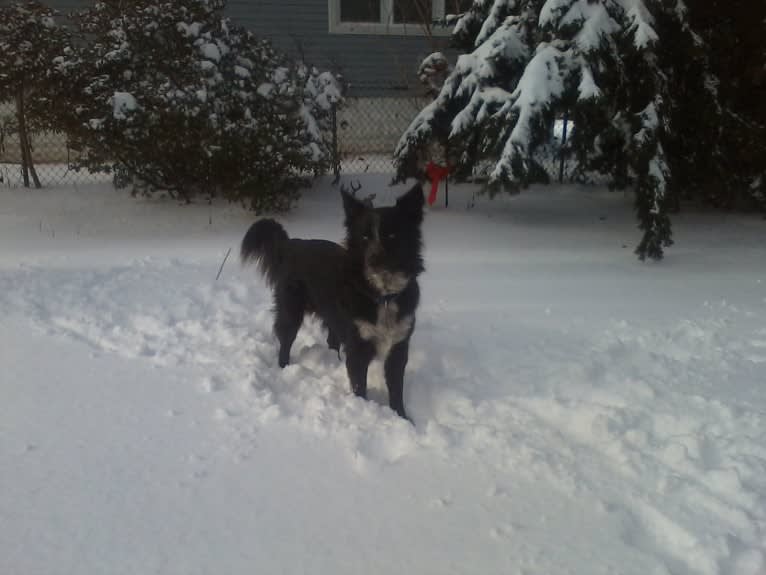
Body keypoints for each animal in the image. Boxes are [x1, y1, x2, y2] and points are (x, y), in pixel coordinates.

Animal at [242, 183, 426, 418]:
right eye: (364, 237)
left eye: (392, 235)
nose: (374, 260)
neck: (382, 295)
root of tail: (290, 244)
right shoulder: (357, 345)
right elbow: (359, 386)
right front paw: (364, 410)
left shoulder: (399, 345)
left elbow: (396, 389)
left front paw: (402, 418)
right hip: (292, 309)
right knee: (285, 339)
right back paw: (284, 368)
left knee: (331, 340)